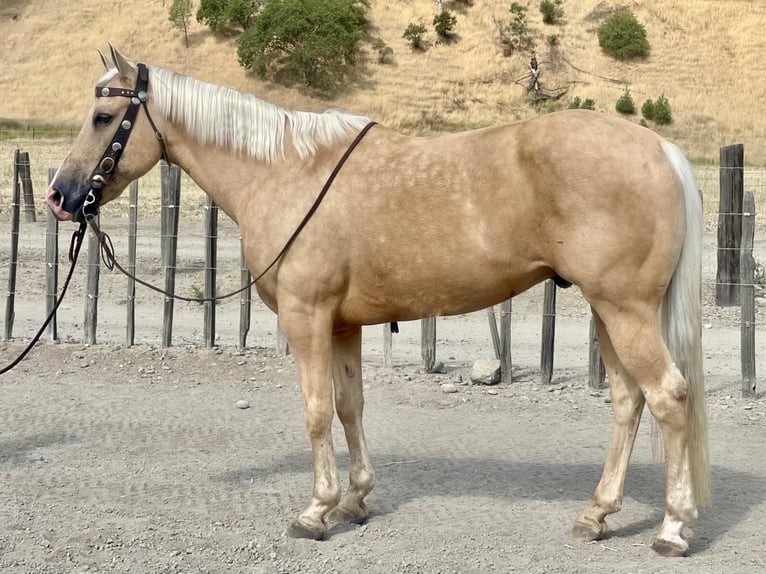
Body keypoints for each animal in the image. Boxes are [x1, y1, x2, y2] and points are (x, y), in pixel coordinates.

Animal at [46, 46, 709, 557]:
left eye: (103, 115)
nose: (60, 195)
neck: (286, 173)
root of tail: (661, 150)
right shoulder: (342, 325)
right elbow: (349, 407)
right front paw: (355, 500)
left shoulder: (307, 318)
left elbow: (316, 411)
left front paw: (315, 511)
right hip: (607, 311)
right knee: (628, 402)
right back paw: (596, 515)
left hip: (624, 310)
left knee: (668, 397)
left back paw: (673, 529)